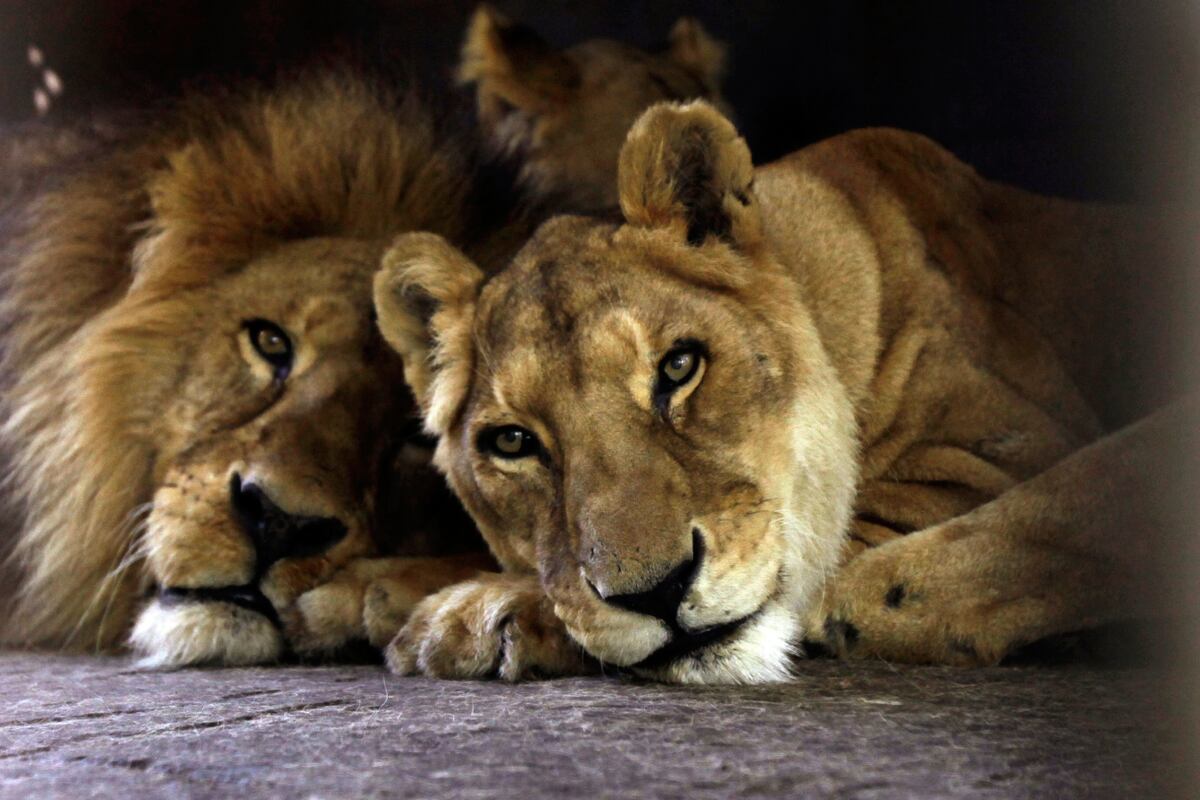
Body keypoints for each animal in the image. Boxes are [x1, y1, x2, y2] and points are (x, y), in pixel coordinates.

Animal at [368, 100, 1193, 683]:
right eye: (512, 442)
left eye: (679, 367)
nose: (656, 593)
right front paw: (380, 586)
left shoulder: (995, 450)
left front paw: (473, 614)